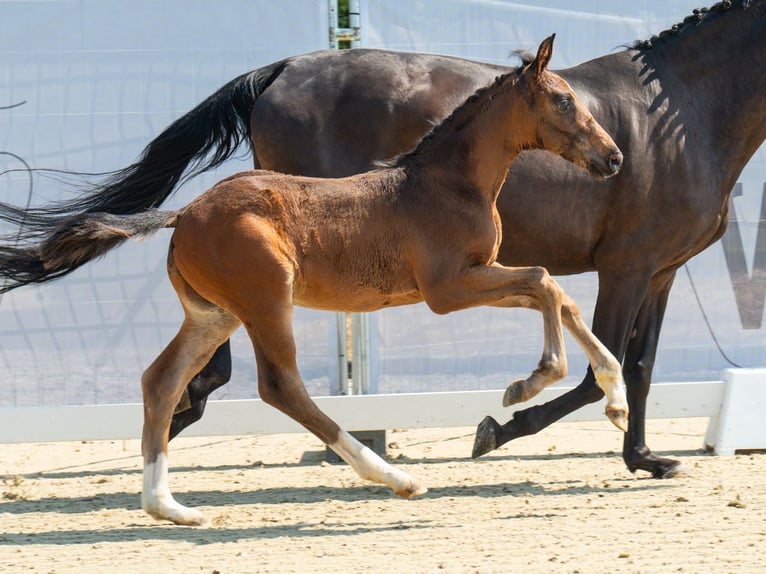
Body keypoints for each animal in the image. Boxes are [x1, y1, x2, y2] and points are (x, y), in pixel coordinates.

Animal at [0, 36, 628, 528]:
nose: (615, 158)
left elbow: (561, 298)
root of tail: (184, 214)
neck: (447, 183)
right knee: (281, 388)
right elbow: (547, 284)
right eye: (565, 100)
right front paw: (531, 382)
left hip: (213, 314)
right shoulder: (448, 289)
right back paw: (395, 477)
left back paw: (168, 507)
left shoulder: (474, 279)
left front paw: (615, 398)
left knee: (161, 381)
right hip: (265, 303)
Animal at [6, 2, 766, 480]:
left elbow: (634, 361)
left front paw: (645, 456)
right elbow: (586, 348)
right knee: (245, 367)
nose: (613, 160)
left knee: (201, 354)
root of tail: (279, 70)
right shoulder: (614, 266)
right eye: (561, 102)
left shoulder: (657, 270)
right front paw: (505, 422)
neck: (685, 113)